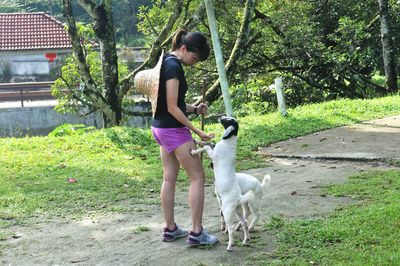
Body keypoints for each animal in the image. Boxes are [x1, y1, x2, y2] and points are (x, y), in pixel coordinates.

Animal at [190, 116, 253, 251]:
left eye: (228, 120)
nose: (220, 117)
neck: (229, 142)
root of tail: (238, 197)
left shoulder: (214, 155)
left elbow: (207, 148)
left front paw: (193, 151)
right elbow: (208, 144)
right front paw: (197, 140)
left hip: (227, 210)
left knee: (231, 228)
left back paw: (230, 245)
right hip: (237, 210)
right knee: (244, 223)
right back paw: (245, 241)